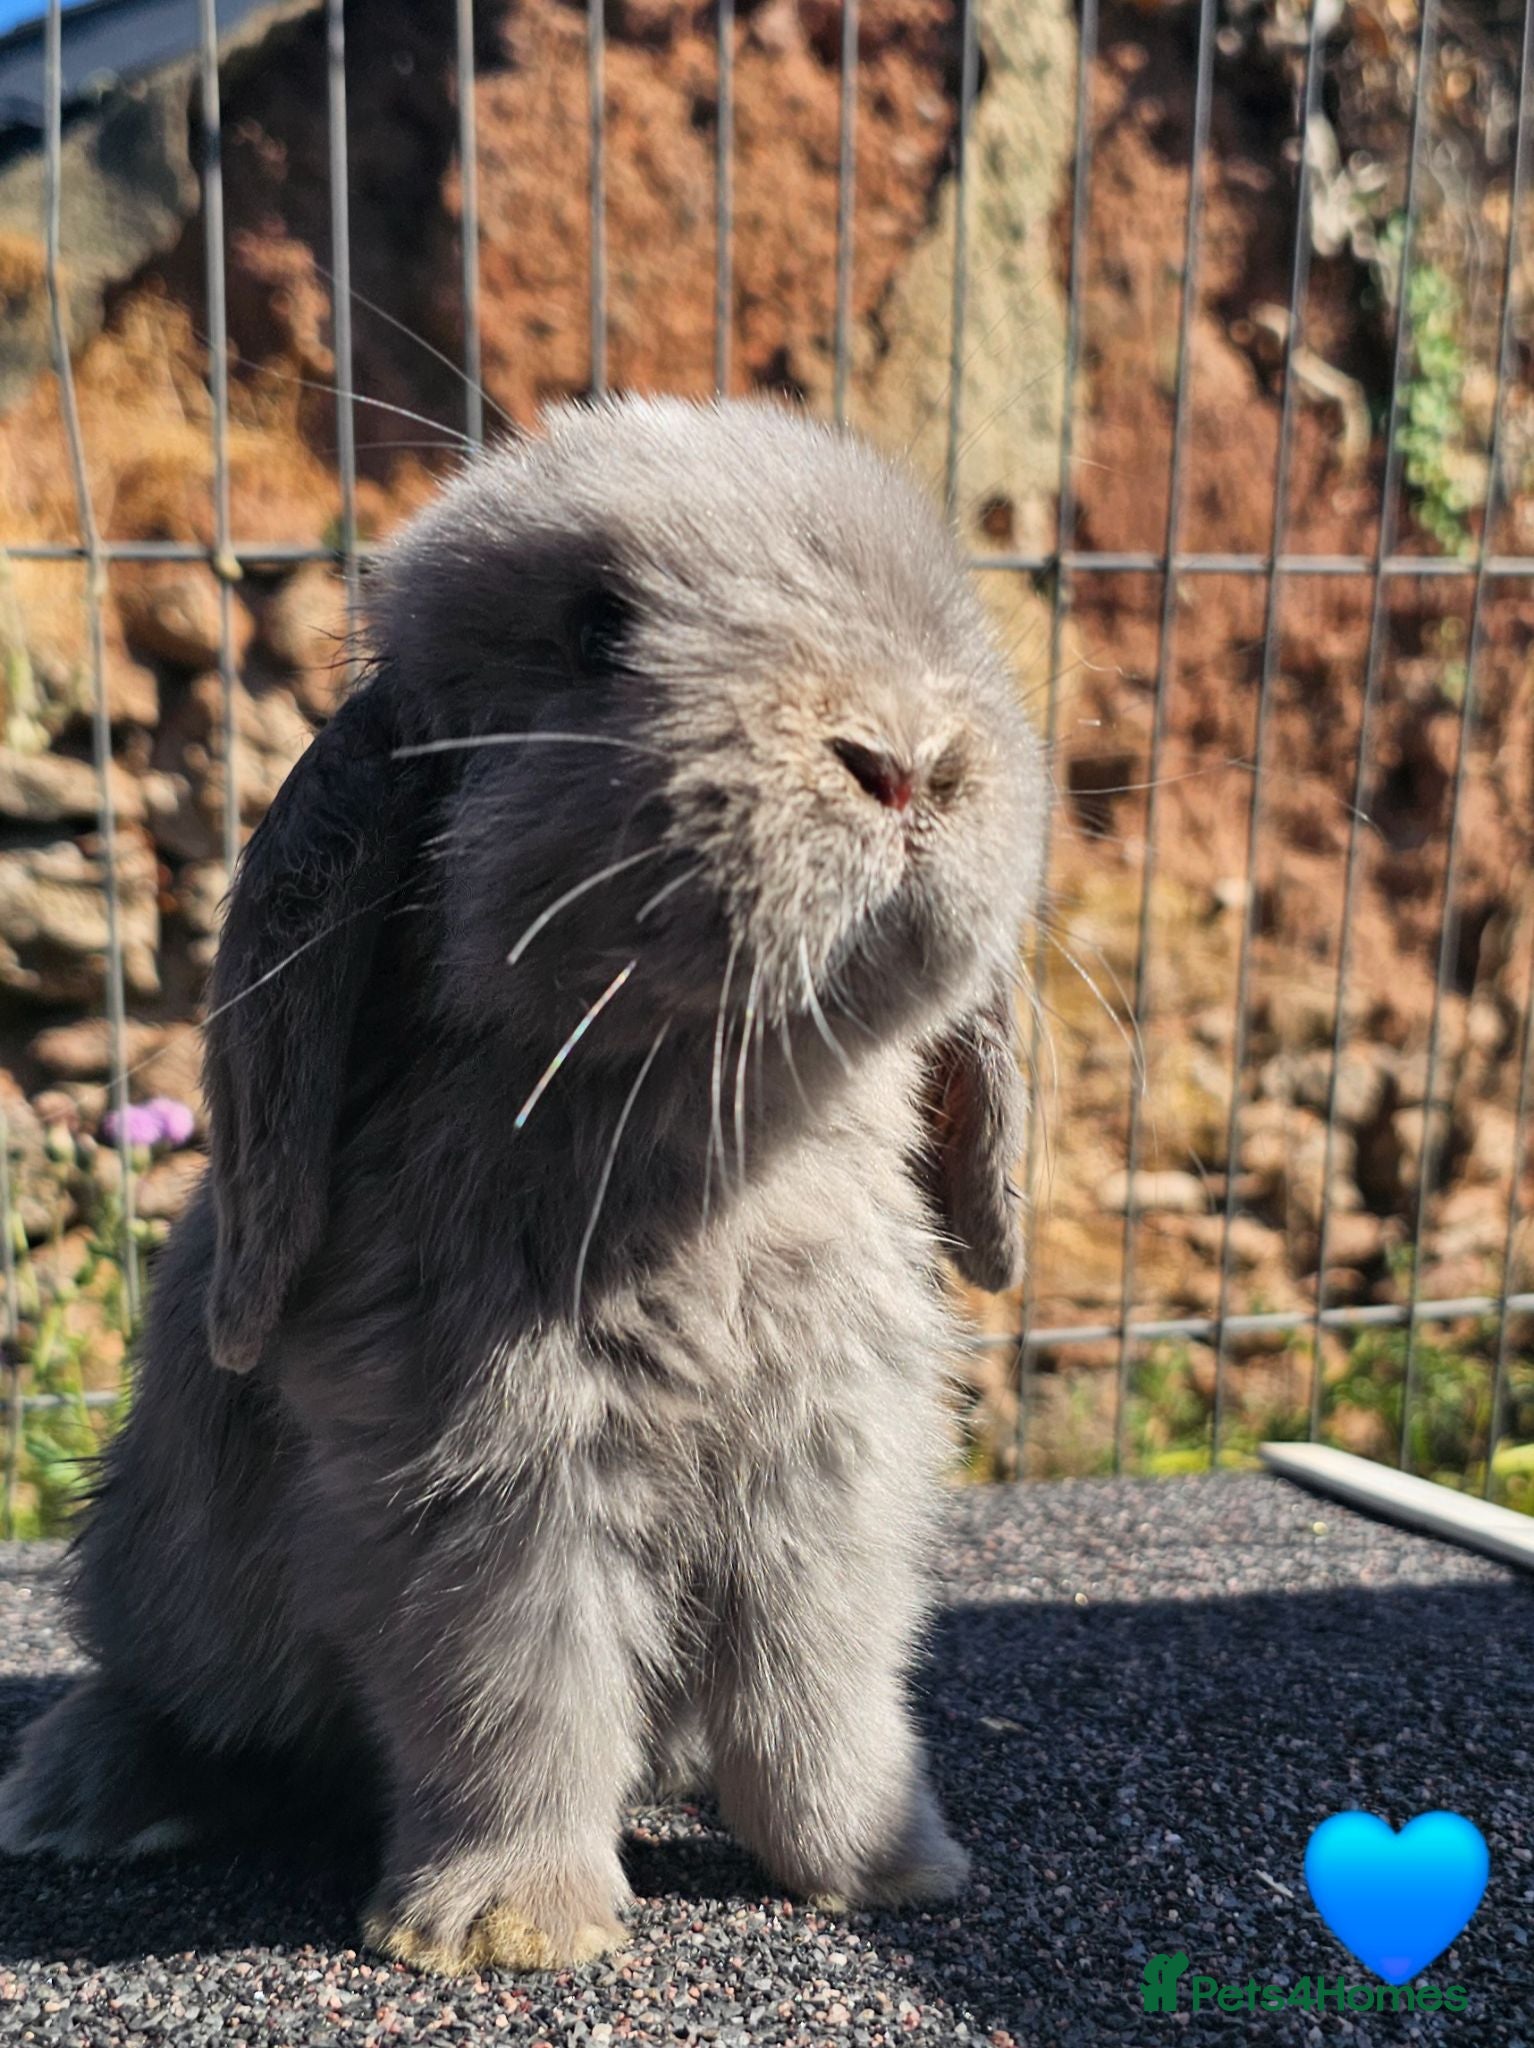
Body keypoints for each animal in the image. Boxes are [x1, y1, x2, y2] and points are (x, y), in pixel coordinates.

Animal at [0, 395, 1047, 1974]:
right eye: (595, 629)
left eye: (947, 612)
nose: (907, 754)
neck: (708, 1140)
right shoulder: (489, 1489)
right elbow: (515, 1705)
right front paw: (509, 1927)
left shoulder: (833, 1483)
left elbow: (820, 1702)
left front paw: (889, 1870)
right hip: (161, 1567)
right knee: (170, 1691)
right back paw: (82, 1793)